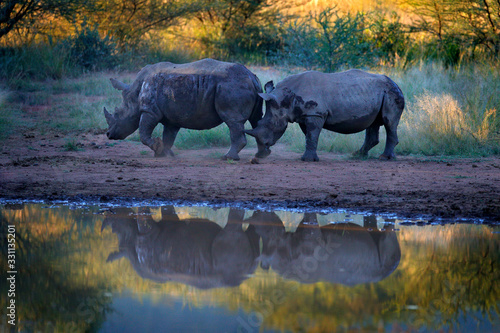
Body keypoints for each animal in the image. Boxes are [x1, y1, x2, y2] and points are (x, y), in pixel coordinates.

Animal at [102, 58, 270, 160]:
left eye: (117, 113)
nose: (109, 134)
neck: (133, 94)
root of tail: (251, 76)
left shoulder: (149, 110)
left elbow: (143, 133)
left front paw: (157, 149)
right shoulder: (172, 117)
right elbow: (168, 136)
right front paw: (164, 153)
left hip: (232, 85)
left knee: (233, 121)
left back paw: (227, 157)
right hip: (248, 85)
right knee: (256, 119)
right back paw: (261, 155)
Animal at [246, 69, 406, 161]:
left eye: (270, 125)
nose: (260, 154)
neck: (284, 98)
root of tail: (396, 83)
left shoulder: (315, 114)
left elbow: (312, 135)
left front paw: (307, 160)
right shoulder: (306, 115)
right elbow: (309, 136)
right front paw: (309, 157)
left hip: (391, 93)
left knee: (389, 122)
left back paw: (384, 158)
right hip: (379, 93)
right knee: (374, 124)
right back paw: (357, 155)